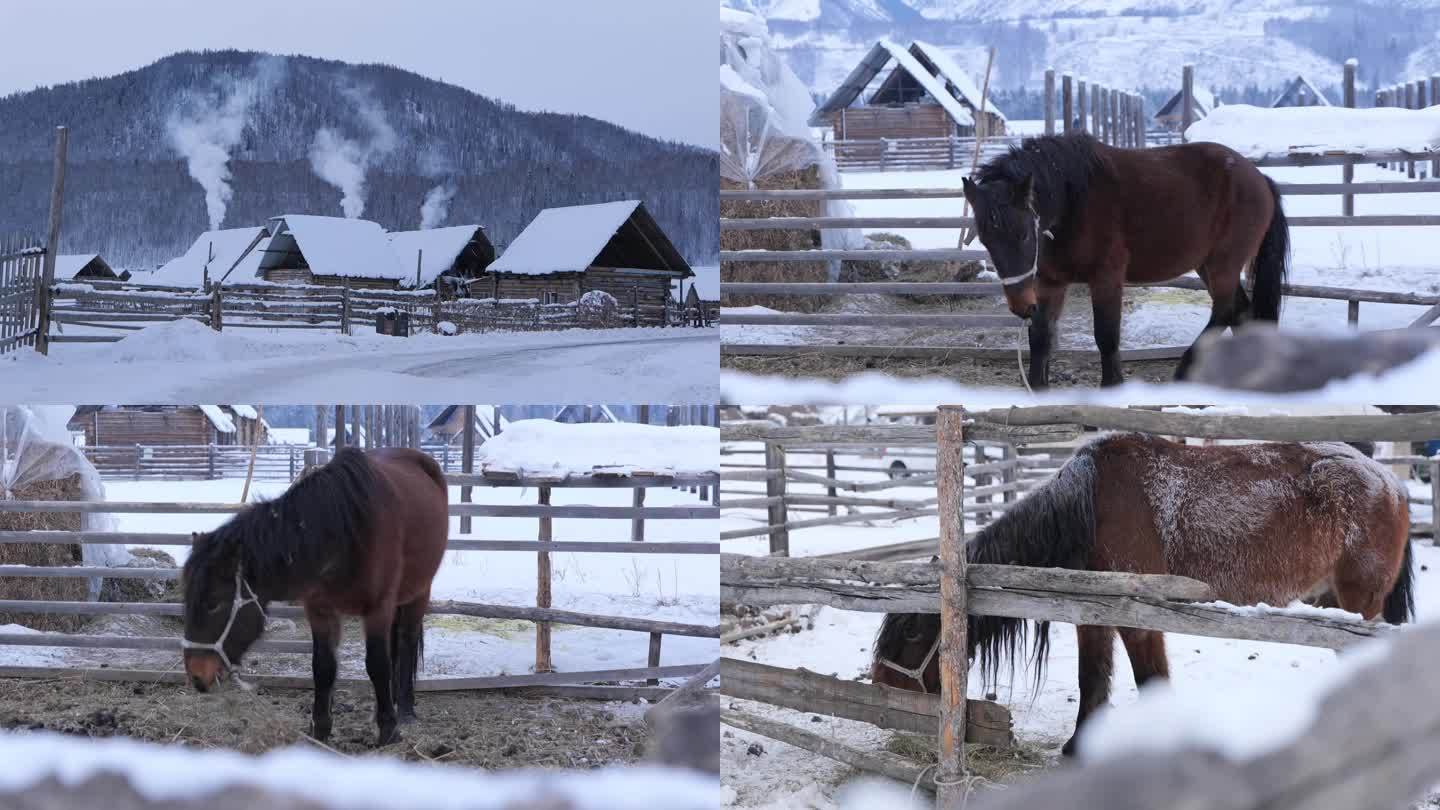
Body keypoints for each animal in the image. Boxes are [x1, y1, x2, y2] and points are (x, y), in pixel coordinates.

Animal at [182, 443, 446, 743]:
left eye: (215, 603)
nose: (196, 676)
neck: (345, 533)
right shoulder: (320, 610)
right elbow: (323, 667)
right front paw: (320, 728)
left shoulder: (378, 608)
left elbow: (378, 665)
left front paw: (388, 730)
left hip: (419, 593)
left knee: (406, 642)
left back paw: (405, 710)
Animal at [869, 432, 1411, 755]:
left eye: (913, 632)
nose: (881, 689)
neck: (1090, 511)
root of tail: (1389, 481)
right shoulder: (1091, 617)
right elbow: (1093, 680)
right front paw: (1077, 747)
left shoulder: (1140, 619)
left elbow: (1150, 682)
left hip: (1358, 605)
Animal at [961, 134, 1290, 389]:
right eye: (985, 240)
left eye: (1024, 235)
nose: (1020, 305)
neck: (1073, 201)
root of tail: (1260, 178)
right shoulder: (1049, 282)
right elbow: (1040, 339)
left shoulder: (1106, 278)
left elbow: (1106, 337)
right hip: (1207, 265)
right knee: (1241, 312)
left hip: (1224, 263)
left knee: (1225, 311)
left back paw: (1185, 371)